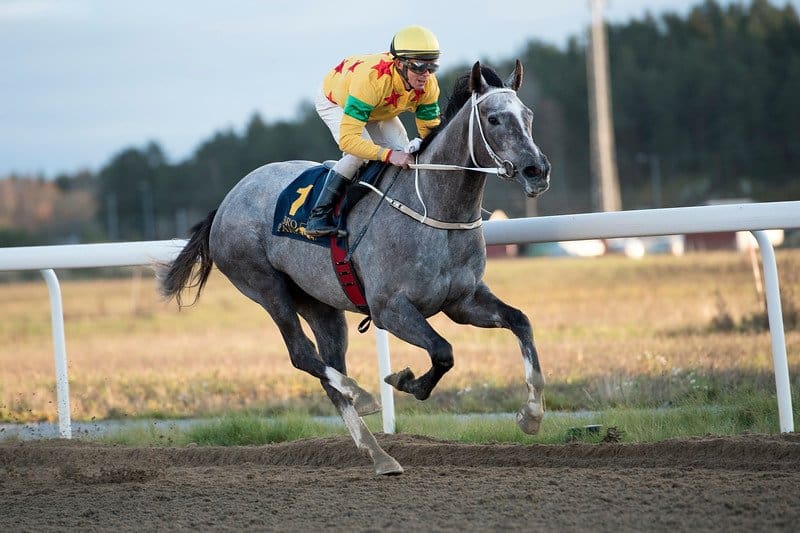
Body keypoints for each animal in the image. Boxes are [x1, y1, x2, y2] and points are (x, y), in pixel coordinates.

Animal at [160, 59, 552, 474]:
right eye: (494, 119)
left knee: (327, 369)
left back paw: (379, 453)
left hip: (320, 303)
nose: (537, 171)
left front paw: (531, 415)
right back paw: (362, 396)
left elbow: (520, 322)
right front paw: (406, 380)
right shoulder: (390, 309)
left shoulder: (463, 302)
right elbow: (443, 351)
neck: (435, 208)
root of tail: (226, 202)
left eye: (528, 116)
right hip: (267, 287)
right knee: (303, 355)